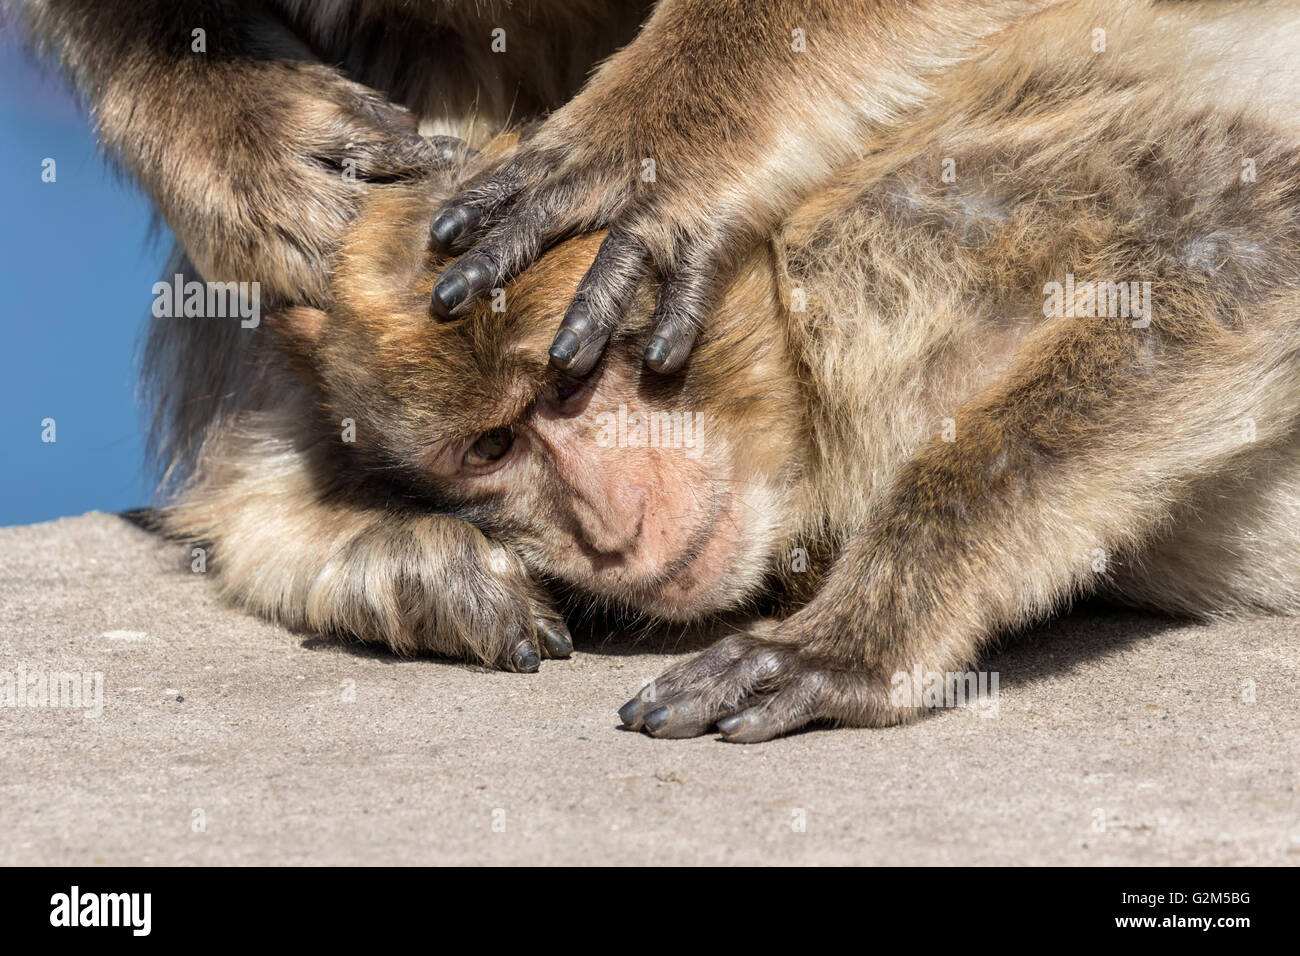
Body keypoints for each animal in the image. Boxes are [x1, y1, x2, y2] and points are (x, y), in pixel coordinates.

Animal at [162, 0, 1300, 738]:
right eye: (489, 446)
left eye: (568, 383)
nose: (608, 529)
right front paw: (405, 559)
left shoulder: (886, 226)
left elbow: (1235, 227)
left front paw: (853, 641)